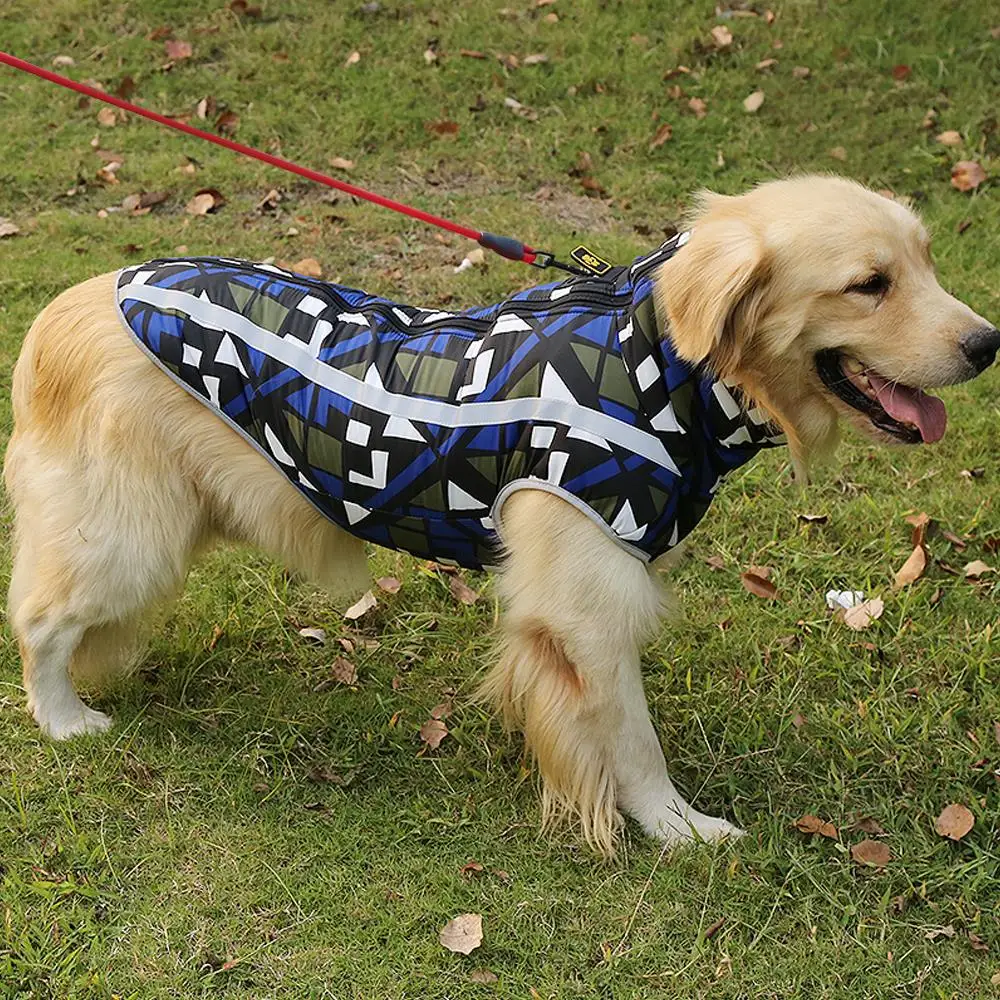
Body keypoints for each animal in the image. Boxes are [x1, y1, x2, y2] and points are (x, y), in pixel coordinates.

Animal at [3, 174, 996, 852]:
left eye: (925, 262)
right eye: (869, 284)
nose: (988, 343)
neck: (662, 364)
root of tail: (62, 309)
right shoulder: (586, 606)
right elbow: (632, 743)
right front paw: (678, 830)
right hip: (125, 538)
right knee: (39, 622)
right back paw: (63, 720)